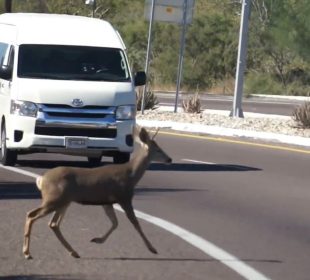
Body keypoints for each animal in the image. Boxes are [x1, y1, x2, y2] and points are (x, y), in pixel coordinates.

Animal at [22, 126, 172, 258]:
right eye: (158, 149)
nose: (169, 159)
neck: (130, 175)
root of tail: (41, 179)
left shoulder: (107, 202)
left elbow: (115, 223)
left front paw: (97, 240)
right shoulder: (124, 197)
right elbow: (135, 223)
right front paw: (152, 248)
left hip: (63, 201)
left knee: (53, 224)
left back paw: (73, 252)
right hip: (53, 198)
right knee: (31, 215)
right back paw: (27, 253)